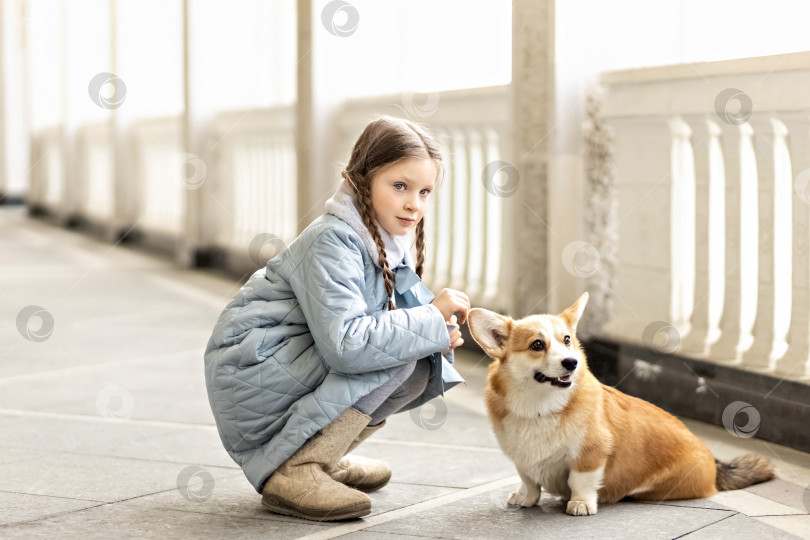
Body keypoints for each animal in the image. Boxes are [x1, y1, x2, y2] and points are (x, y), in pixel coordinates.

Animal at [464, 294, 772, 516]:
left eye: (567, 340)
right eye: (537, 345)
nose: (571, 363)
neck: (540, 406)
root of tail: (713, 460)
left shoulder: (592, 452)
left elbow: (579, 480)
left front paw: (580, 504)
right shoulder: (523, 460)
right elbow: (529, 482)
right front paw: (525, 498)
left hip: (653, 489)